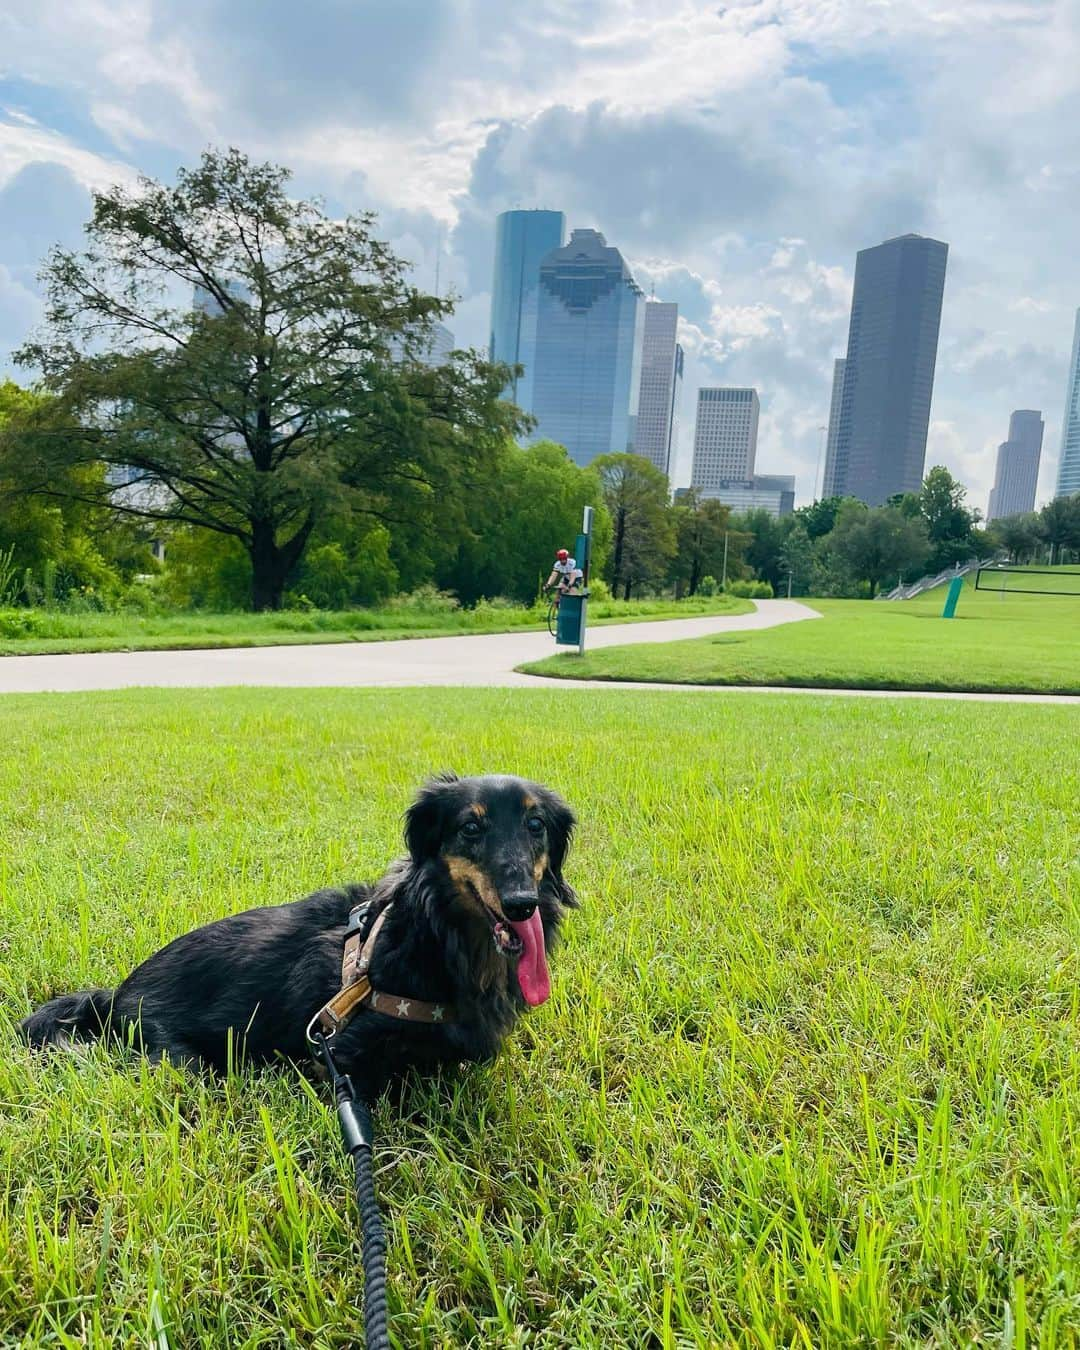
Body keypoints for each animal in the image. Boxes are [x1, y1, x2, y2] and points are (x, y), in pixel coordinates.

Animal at [18, 772, 572, 1096]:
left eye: (536, 824)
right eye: (470, 828)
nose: (521, 904)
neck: (437, 935)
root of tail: (115, 995)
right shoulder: (341, 1056)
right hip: (182, 1059)